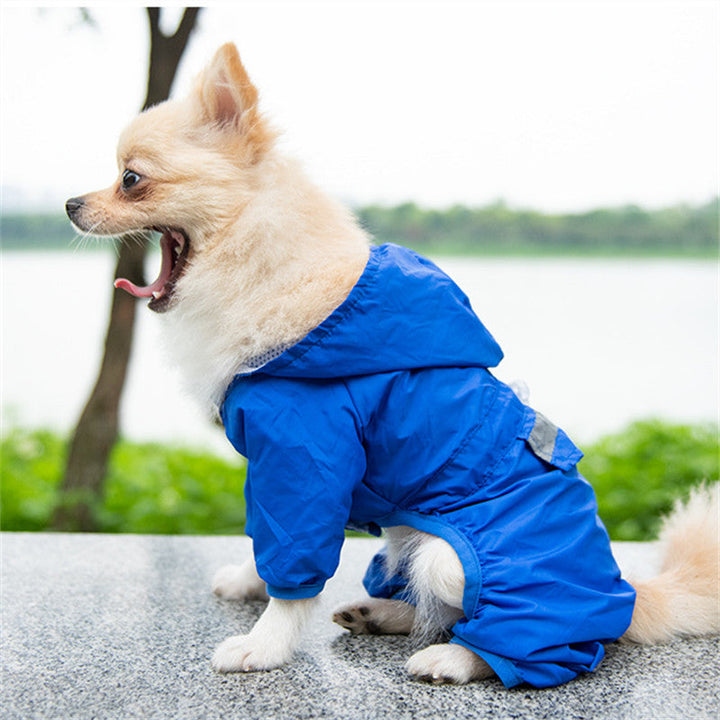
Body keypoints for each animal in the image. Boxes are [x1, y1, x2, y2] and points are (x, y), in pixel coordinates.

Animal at [64, 43, 716, 688]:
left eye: (130, 179)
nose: (70, 203)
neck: (263, 267)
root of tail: (627, 594)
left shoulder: (304, 458)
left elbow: (294, 573)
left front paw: (264, 645)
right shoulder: (275, 473)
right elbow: (266, 543)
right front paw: (251, 583)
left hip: (461, 561)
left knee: (515, 633)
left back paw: (455, 657)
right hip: (406, 539)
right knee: (433, 606)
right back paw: (379, 612)